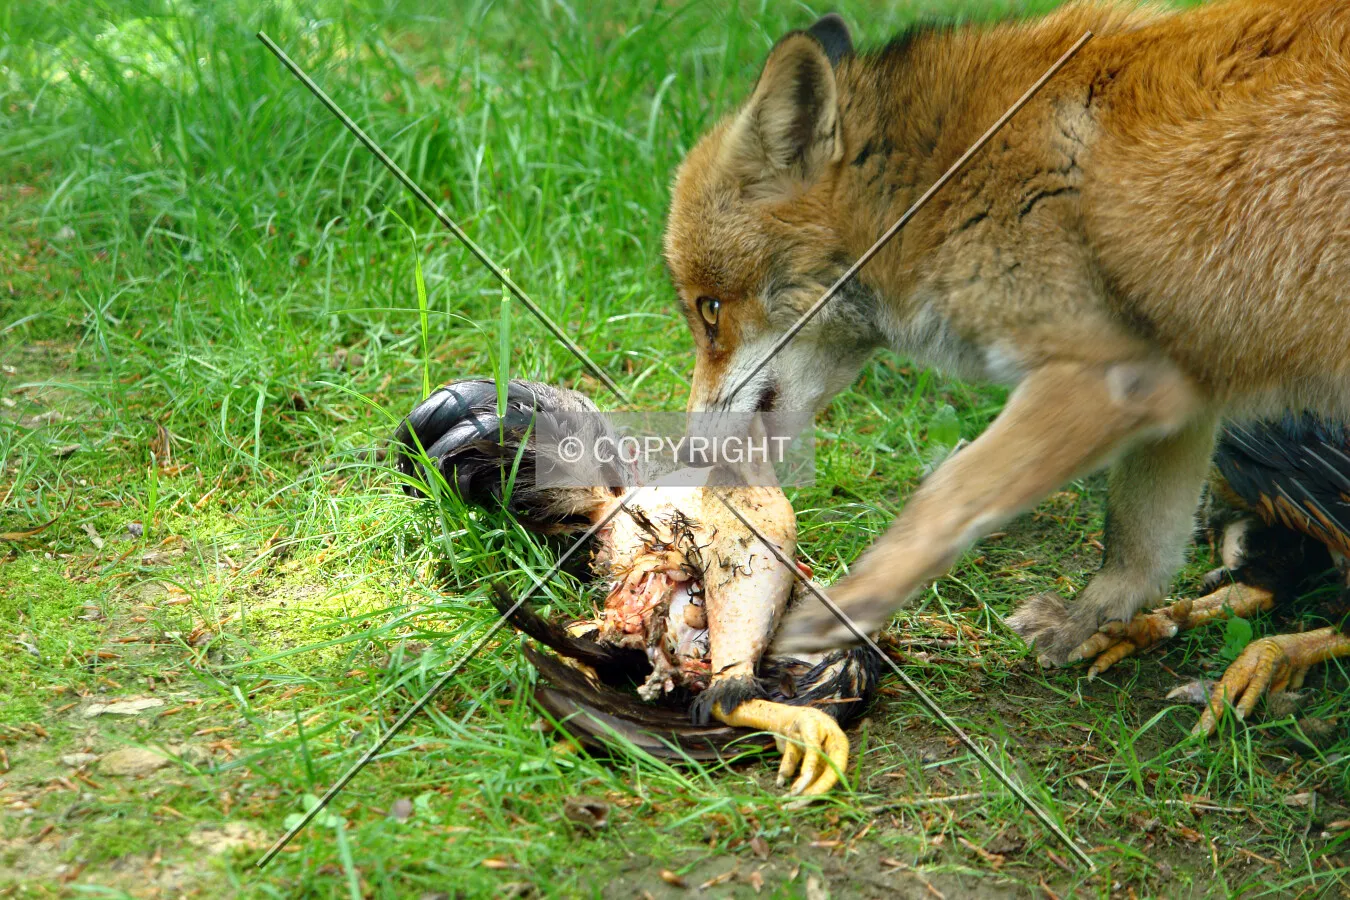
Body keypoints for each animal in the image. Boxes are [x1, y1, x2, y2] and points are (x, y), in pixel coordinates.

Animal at [661, 0, 1350, 664]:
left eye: (710, 310)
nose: (688, 457)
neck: (949, 181)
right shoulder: (1181, 389)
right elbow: (1137, 545)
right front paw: (1089, 624)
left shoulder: (1108, 379)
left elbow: (947, 492)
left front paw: (847, 607)